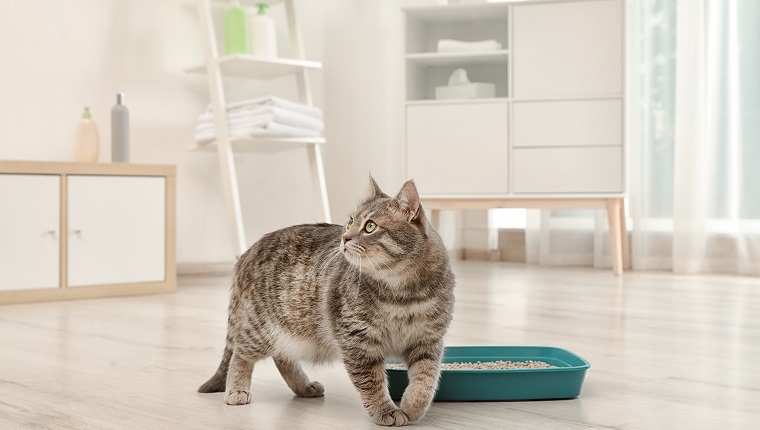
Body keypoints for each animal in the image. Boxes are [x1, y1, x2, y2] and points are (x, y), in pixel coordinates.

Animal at [199, 176, 454, 424]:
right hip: (260, 329)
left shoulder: (427, 341)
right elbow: (371, 383)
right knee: (240, 354)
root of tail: (247, 253)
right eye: (350, 222)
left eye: (370, 226)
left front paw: (413, 406)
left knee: (282, 358)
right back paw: (237, 389)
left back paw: (304, 386)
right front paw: (385, 410)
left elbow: (426, 379)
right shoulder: (357, 342)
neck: (403, 292)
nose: (345, 237)